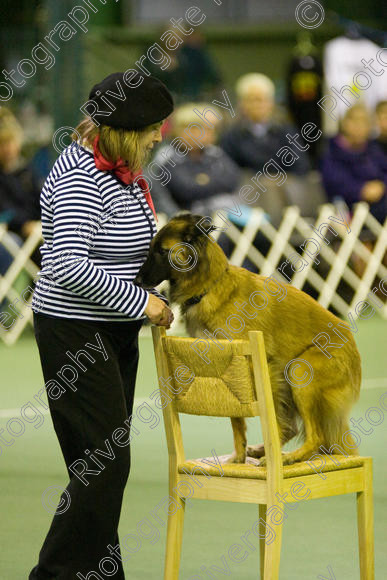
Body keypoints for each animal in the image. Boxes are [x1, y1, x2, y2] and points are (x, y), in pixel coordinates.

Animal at [135, 214, 362, 466]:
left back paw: (290, 457)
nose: (137, 280)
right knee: (295, 430)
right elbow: (236, 418)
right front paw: (239, 457)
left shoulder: (260, 367)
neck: (210, 287)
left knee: (316, 436)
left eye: (161, 251)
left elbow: (270, 418)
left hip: (299, 371)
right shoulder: (226, 367)